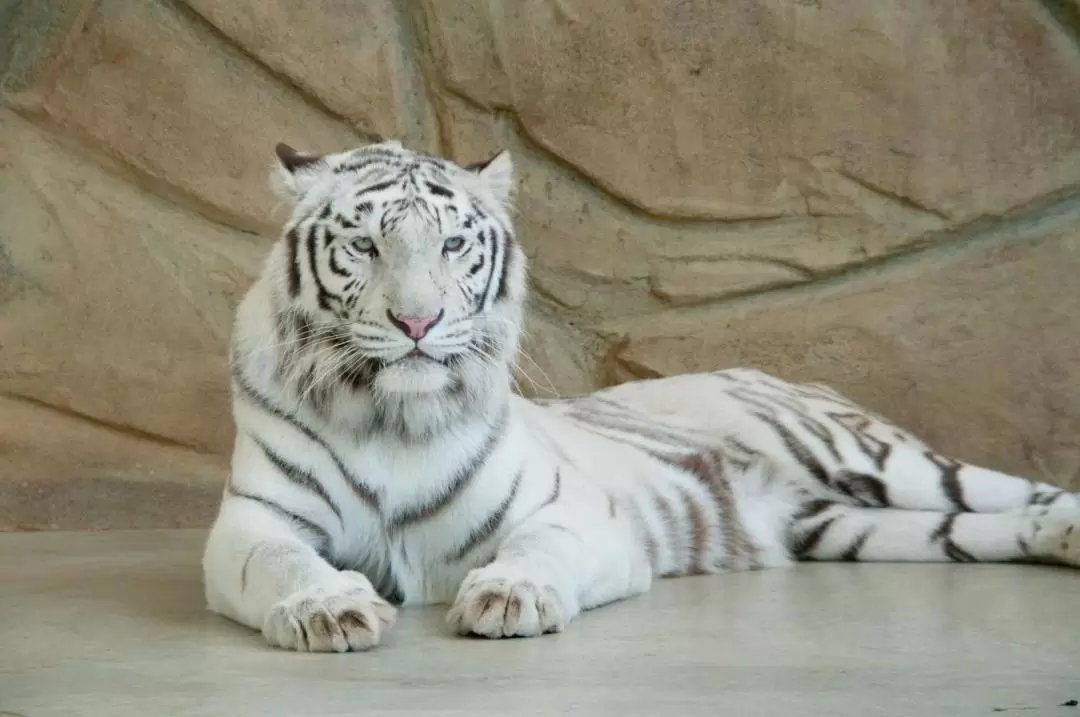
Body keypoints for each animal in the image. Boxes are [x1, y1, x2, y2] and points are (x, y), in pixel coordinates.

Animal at [203, 137, 1080, 652]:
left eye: (452, 243)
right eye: (364, 244)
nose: (418, 321)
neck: (394, 414)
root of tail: (783, 373)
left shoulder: (575, 512)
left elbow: (539, 546)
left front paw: (512, 594)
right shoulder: (255, 521)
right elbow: (282, 560)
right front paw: (328, 607)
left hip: (871, 458)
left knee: (1010, 488)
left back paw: (1067, 523)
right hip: (846, 525)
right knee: (973, 526)